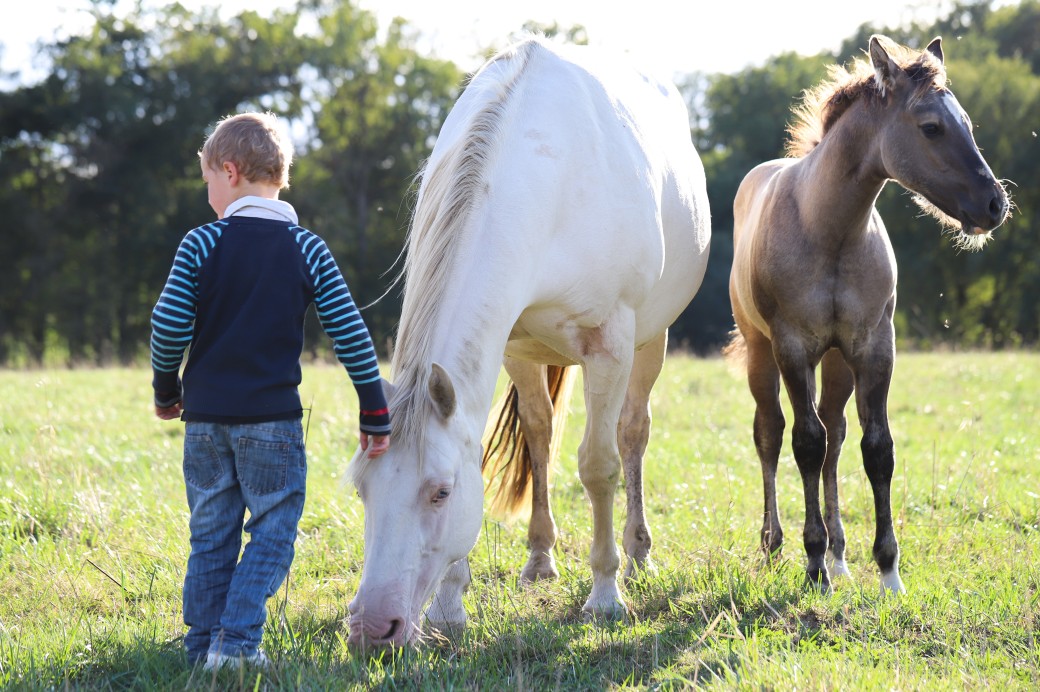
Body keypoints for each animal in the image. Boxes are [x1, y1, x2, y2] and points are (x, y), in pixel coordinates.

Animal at [346, 36, 711, 647]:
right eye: (361, 489)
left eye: (441, 492)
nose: (374, 628)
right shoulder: (508, 347)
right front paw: (450, 606)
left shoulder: (610, 344)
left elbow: (599, 465)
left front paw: (605, 595)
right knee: (539, 435)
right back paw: (540, 558)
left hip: (651, 341)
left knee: (632, 434)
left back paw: (638, 553)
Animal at [727, 35, 1010, 594]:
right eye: (931, 126)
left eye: (968, 122)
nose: (995, 204)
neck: (830, 229)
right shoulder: (793, 348)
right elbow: (805, 442)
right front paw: (813, 565)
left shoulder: (875, 347)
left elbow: (875, 448)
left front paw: (887, 571)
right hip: (761, 353)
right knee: (771, 434)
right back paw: (774, 545)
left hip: (837, 362)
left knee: (836, 435)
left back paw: (839, 554)